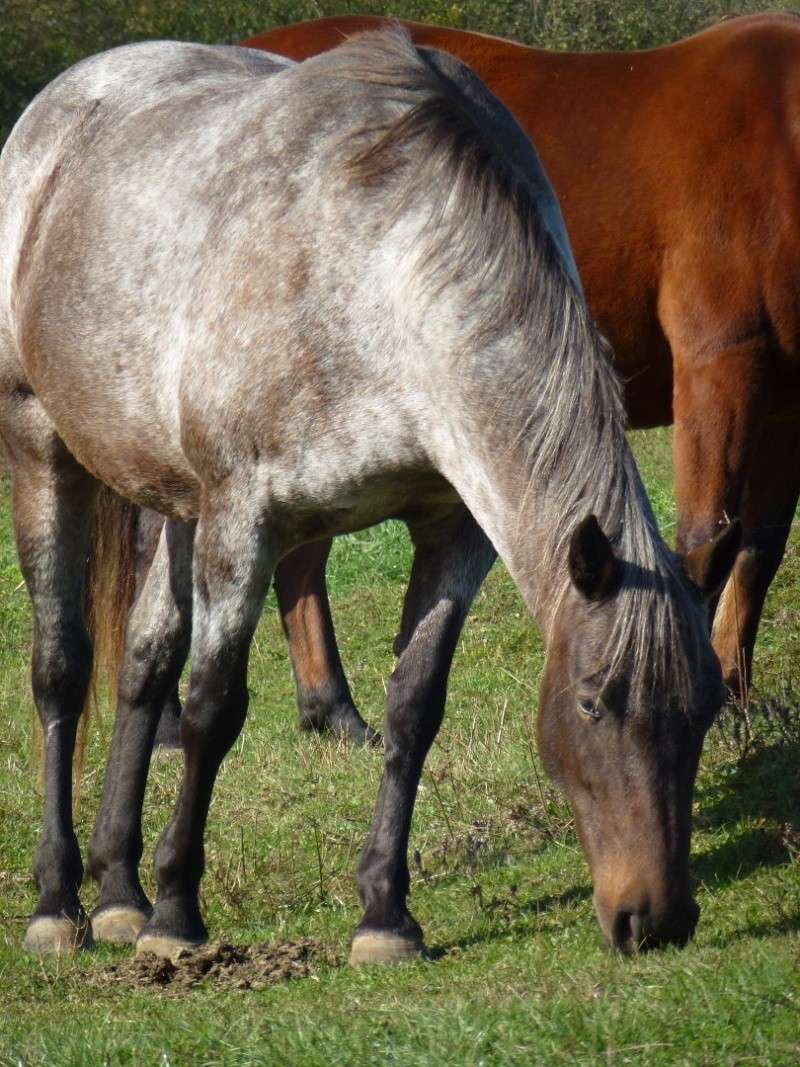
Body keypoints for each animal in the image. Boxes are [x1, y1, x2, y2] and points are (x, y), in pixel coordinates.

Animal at [0, 29, 738, 964]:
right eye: (591, 701)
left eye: (706, 708)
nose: (657, 919)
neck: (376, 270)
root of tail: (57, 106)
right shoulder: (244, 519)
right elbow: (212, 707)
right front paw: (177, 914)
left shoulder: (452, 530)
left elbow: (414, 707)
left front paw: (385, 913)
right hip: (40, 443)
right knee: (62, 666)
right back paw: (60, 901)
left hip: (175, 503)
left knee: (141, 662)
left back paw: (118, 892)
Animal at [196, 8, 800, 742]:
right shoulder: (722, 361)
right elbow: (706, 535)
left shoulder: (788, 407)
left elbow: (756, 551)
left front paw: (734, 696)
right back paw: (330, 707)